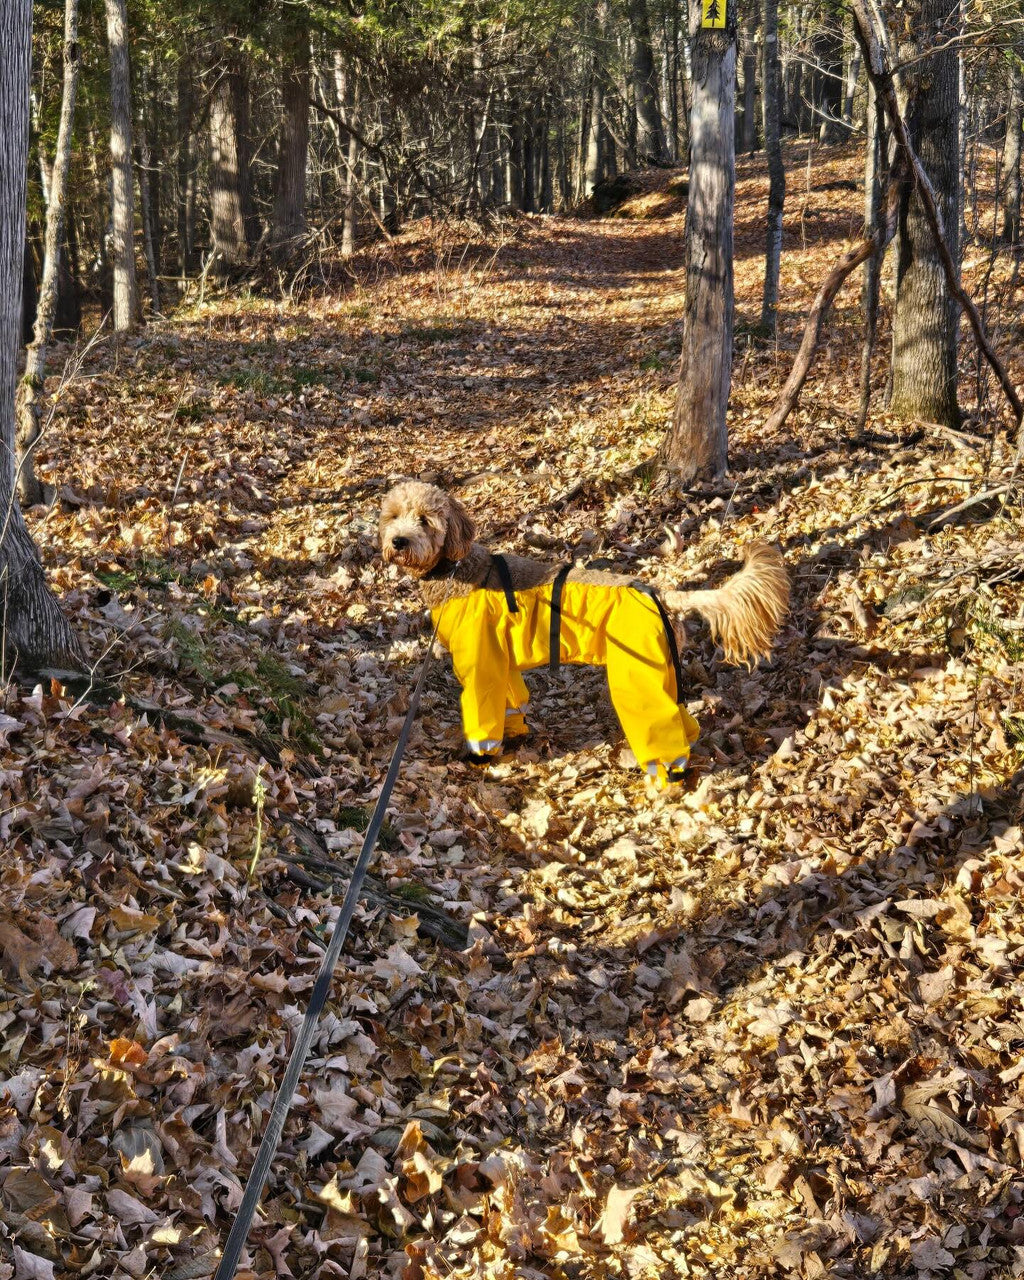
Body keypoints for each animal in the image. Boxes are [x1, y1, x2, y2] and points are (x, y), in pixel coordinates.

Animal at [378, 481, 788, 783]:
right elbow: (513, 703)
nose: (398, 541)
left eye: (425, 520)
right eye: (394, 516)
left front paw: (481, 759)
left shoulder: (481, 667)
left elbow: (483, 718)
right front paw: (515, 738)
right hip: (663, 672)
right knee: (681, 721)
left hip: (636, 678)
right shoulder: (501, 663)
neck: (453, 568)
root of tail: (660, 594)